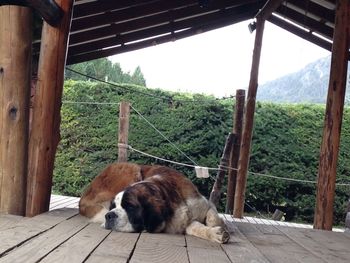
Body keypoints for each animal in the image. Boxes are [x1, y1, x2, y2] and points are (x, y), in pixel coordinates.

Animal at [80, 163, 231, 245]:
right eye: (113, 207)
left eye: (129, 206)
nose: (109, 215)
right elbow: (195, 227)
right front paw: (216, 232)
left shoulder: (205, 204)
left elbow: (213, 218)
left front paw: (218, 229)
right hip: (132, 168)